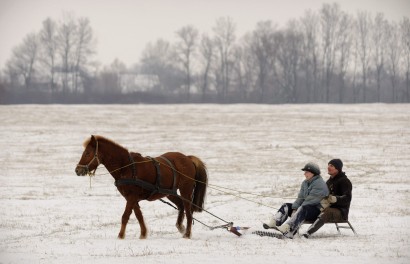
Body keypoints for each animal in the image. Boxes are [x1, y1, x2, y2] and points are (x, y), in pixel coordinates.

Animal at [74, 136, 208, 239]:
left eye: (87, 153)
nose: (77, 170)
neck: (126, 167)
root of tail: (187, 158)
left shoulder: (131, 197)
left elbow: (125, 216)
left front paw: (120, 236)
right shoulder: (131, 198)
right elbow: (139, 216)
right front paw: (143, 234)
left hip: (186, 190)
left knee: (188, 211)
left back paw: (187, 234)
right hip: (170, 192)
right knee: (181, 206)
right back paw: (180, 226)